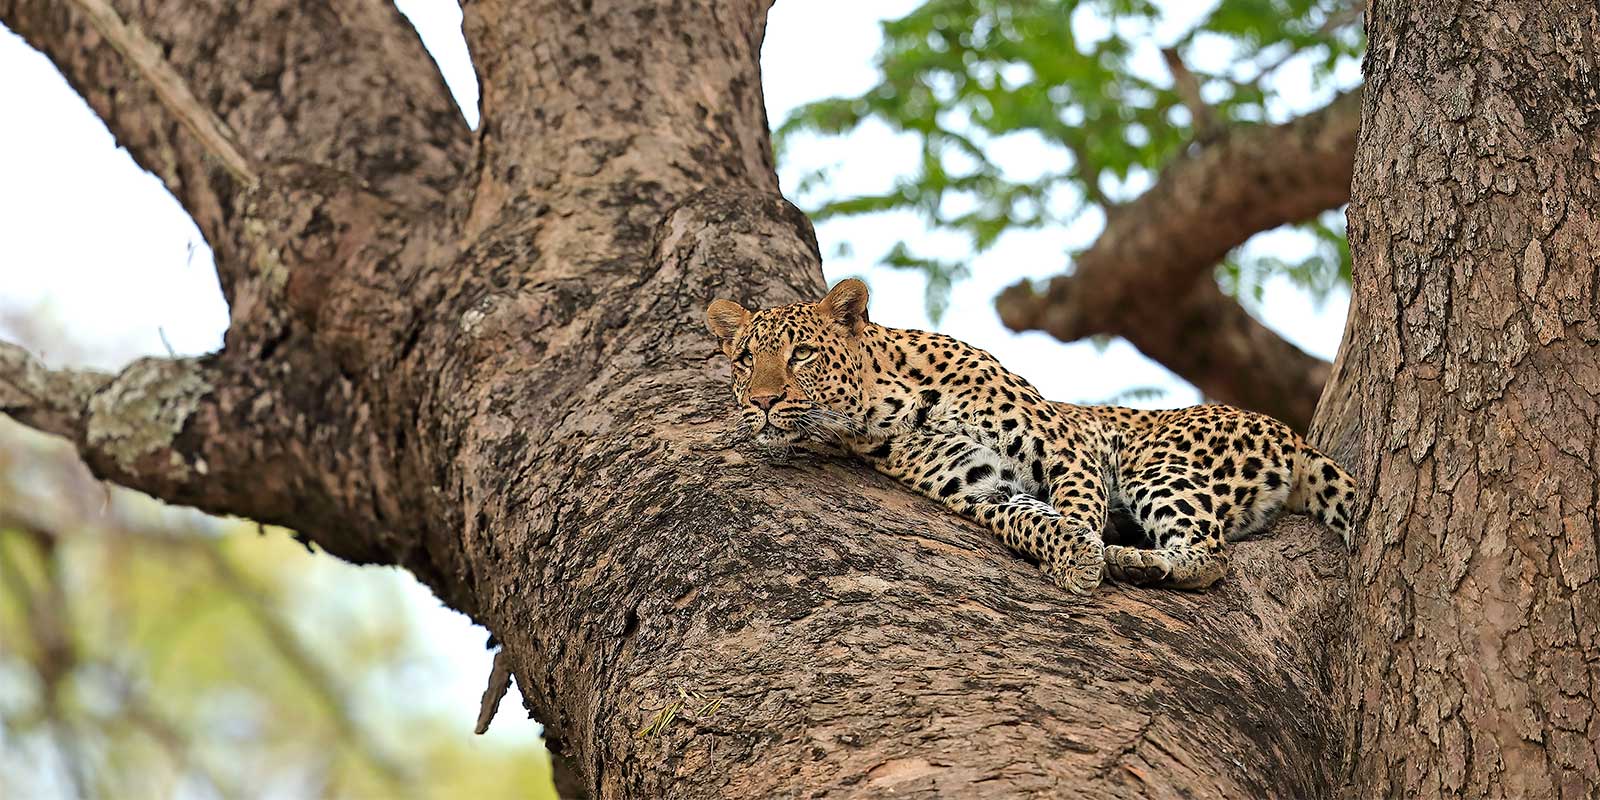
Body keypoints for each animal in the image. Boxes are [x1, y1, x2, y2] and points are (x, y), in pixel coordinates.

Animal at [704, 278, 1357, 594]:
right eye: (744, 359)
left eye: (801, 354)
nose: (761, 402)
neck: (888, 404)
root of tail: (1290, 434)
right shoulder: (979, 487)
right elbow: (1030, 519)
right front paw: (1073, 553)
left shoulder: (1067, 445)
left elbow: (1076, 507)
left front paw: (1082, 555)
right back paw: (1132, 562)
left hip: (1157, 464)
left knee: (1210, 556)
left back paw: (1129, 558)